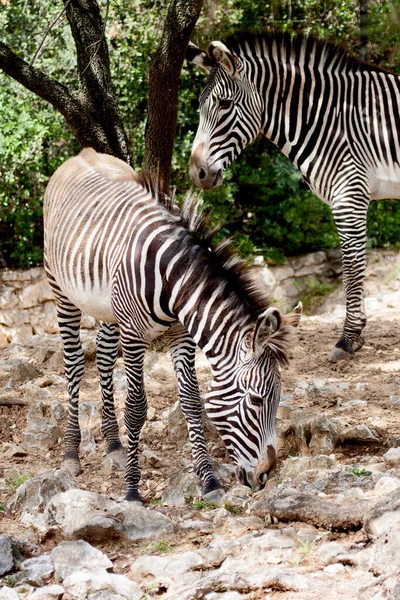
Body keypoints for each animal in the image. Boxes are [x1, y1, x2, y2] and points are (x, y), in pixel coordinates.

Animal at [43, 148, 300, 500]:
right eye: (257, 400)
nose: (265, 475)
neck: (174, 280)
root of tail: (84, 153)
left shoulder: (182, 333)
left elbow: (191, 400)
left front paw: (208, 480)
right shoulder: (134, 335)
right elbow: (136, 408)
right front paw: (132, 490)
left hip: (107, 307)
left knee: (105, 359)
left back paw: (113, 445)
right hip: (61, 290)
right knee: (74, 365)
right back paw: (71, 454)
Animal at [187, 32, 400, 364]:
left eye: (224, 104)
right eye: (199, 106)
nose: (197, 173)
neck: (329, 120)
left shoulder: (348, 196)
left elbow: (352, 267)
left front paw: (347, 339)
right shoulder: (353, 198)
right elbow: (356, 264)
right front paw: (357, 335)